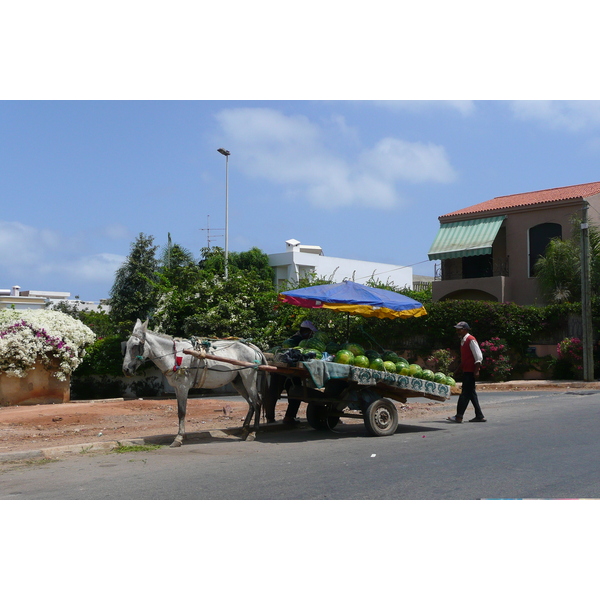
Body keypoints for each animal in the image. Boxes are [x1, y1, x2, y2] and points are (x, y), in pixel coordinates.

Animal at [122, 318, 268, 446]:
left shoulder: (183, 387)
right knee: (251, 403)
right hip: (238, 382)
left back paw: (253, 433)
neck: (174, 355)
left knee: (257, 402)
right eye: (126, 345)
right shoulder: (176, 388)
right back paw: (244, 429)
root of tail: (253, 348)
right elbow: (179, 411)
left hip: (248, 378)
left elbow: (182, 412)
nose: (126, 369)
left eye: (136, 345)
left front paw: (179, 438)